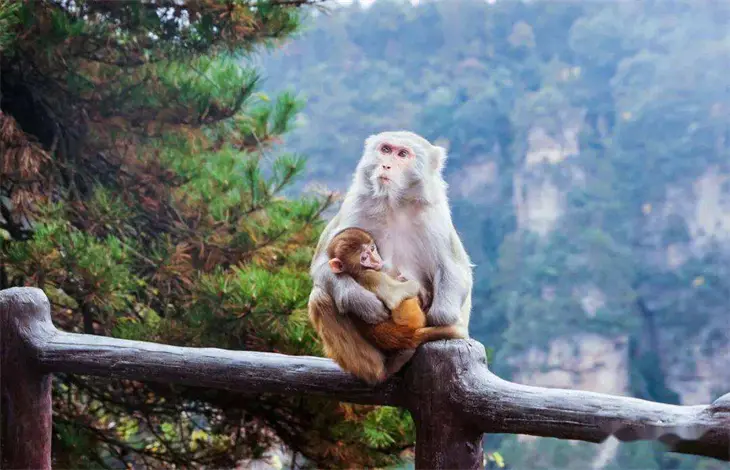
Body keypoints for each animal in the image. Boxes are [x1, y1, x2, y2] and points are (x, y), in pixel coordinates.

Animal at [326, 228, 460, 374]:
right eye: (364, 258)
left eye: (372, 249)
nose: (375, 260)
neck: (358, 273)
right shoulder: (373, 276)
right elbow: (396, 297)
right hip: (411, 318)